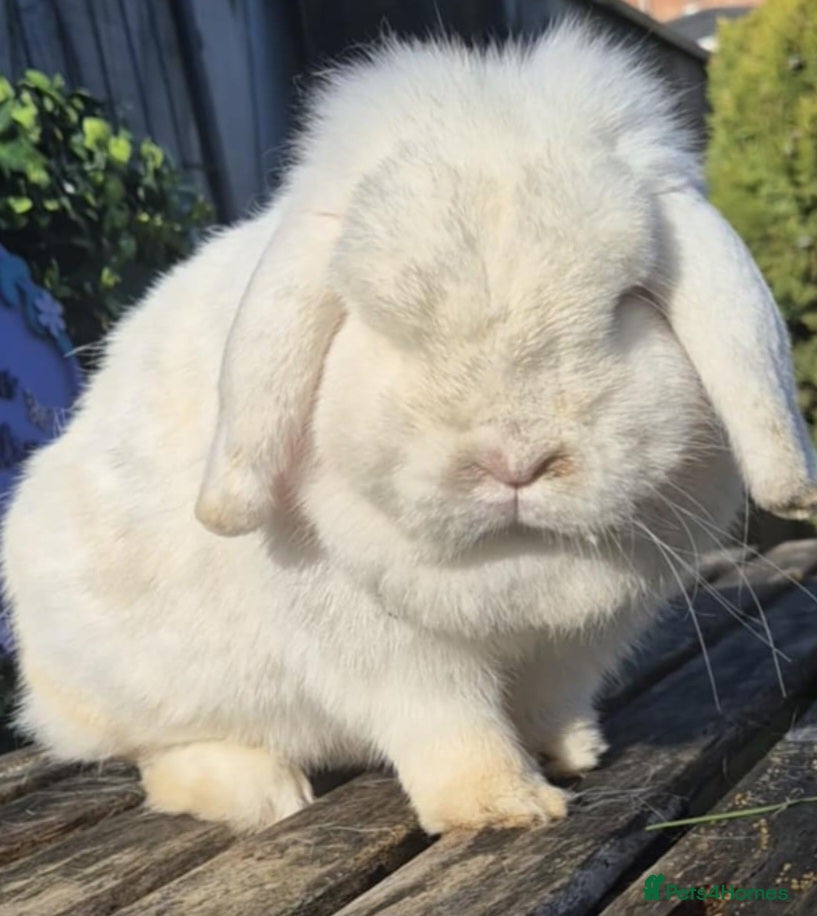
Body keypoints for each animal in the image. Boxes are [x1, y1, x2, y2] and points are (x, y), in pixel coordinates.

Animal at [3, 22, 816, 835]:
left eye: (625, 300)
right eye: (379, 315)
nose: (514, 461)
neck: (512, 563)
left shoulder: (575, 644)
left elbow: (547, 700)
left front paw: (568, 752)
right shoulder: (388, 653)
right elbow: (450, 723)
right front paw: (504, 806)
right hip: (125, 676)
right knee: (153, 749)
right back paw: (260, 790)